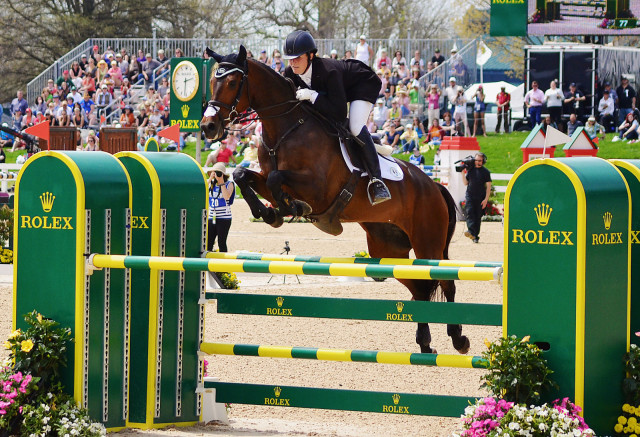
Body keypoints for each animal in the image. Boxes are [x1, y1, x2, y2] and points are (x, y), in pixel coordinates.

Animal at [200, 46, 470, 354]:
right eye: (213, 81)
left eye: (233, 82)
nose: (208, 127)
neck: (286, 127)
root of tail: (435, 186)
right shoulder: (267, 177)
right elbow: (244, 174)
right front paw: (271, 213)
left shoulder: (318, 188)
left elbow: (276, 179)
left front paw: (290, 208)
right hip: (390, 248)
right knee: (421, 289)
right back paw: (425, 344)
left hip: (428, 243)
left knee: (445, 282)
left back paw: (459, 339)